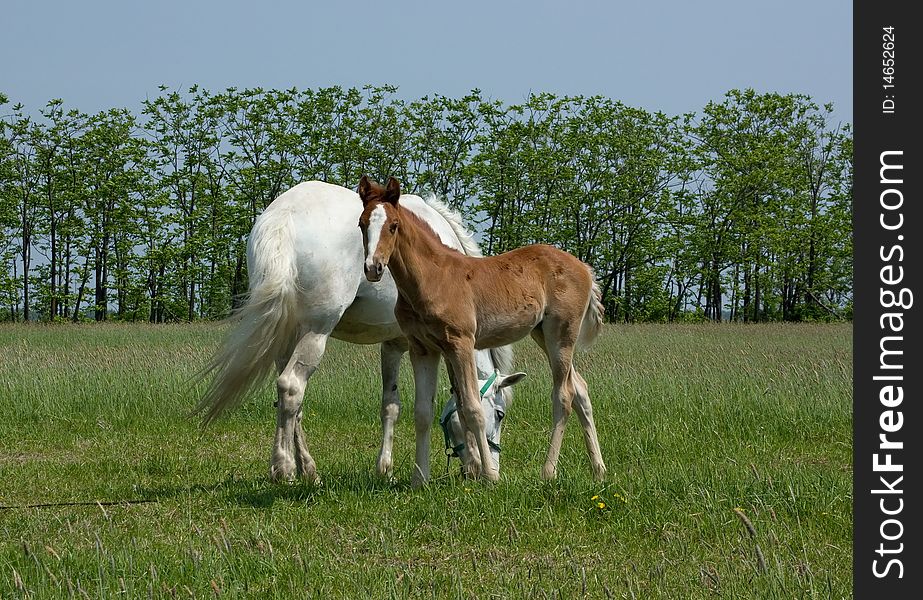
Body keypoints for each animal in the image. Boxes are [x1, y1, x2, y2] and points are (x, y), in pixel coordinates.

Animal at [196, 180, 524, 480]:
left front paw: (384, 470)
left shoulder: (393, 345)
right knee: (291, 387)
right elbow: (461, 396)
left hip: (288, 337)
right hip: (315, 333)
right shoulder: (442, 344)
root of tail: (283, 216)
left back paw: (308, 470)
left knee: (290, 401)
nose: (494, 465)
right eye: (500, 414)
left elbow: (390, 405)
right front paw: (476, 464)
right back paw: (284, 469)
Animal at [358, 176, 608, 486]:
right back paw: (598, 469)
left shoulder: (461, 343)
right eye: (361, 224)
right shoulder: (422, 348)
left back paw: (548, 472)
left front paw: (489, 475)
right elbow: (422, 411)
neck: (432, 278)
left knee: (563, 395)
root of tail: (585, 268)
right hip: (544, 334)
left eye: (393, 225)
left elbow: (472, 408)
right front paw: (420, 480)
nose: (373, 267)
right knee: (581, 389)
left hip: (561, 334)